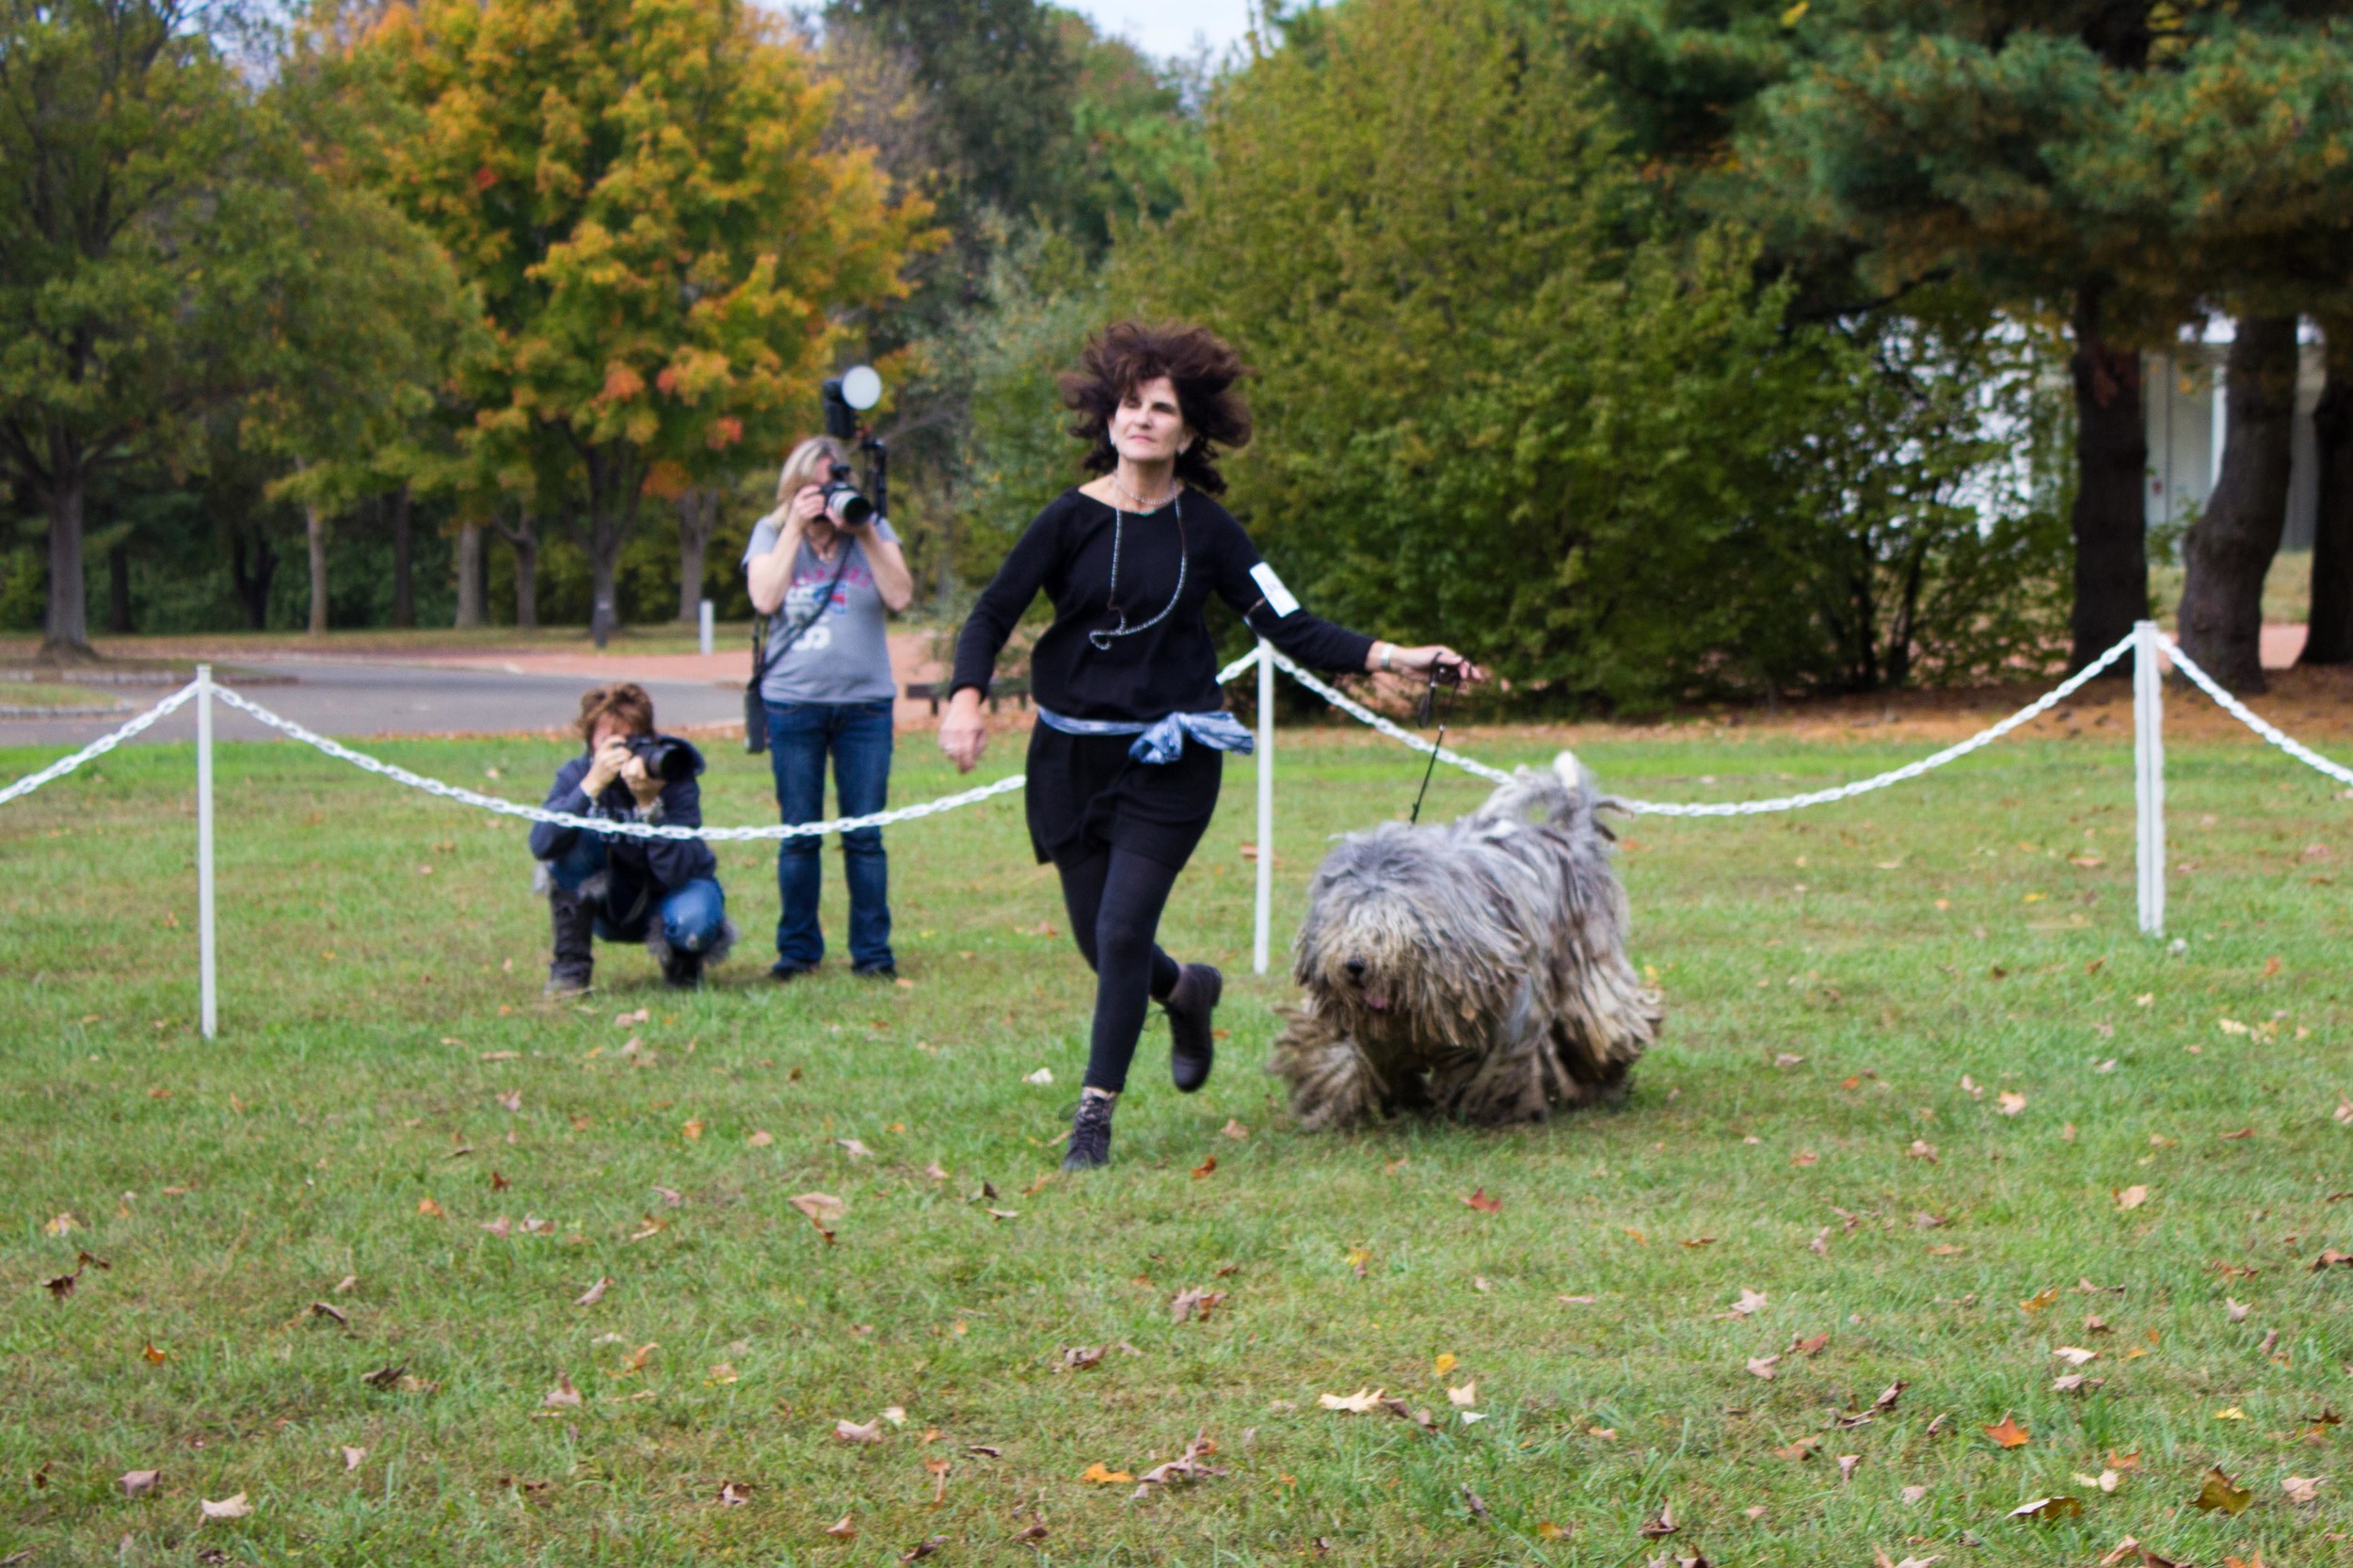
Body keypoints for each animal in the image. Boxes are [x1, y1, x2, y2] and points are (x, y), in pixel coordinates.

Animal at [1280, 748, 1666, 1125]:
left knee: (1600, 1023)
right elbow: (1344, 1053)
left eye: (1390, 927)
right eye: (1343, 923)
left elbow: (1492, 1067)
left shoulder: (1509, 1013)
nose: (1356, 965)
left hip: (1584, 962)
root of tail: (1567, 833)